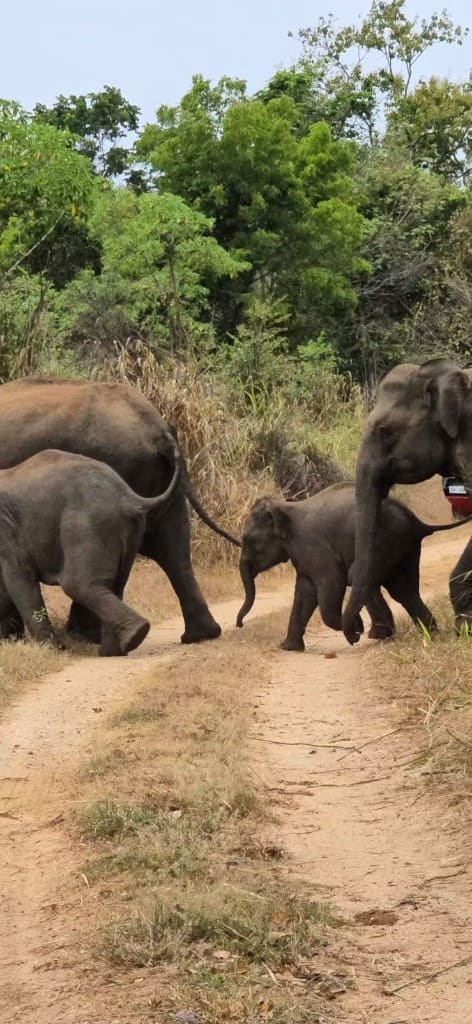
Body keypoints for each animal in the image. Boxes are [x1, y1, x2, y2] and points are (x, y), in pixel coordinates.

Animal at [0, 443, 181, 656]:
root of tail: (130, 497)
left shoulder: (7, 532)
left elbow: (19, 578)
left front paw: (53, 650)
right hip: (129, 529)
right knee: (114, 583)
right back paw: (112, 651)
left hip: (87, 524)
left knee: (77, 584)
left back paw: (133, 636)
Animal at [236, 482, 472, 651]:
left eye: (247, 540)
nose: (239, 625)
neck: (284, 507)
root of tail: (418, 522)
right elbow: (305, 592)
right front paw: (287, 648)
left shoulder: (315, 547)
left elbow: (330, 584)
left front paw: (356, 629)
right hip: (404, 548)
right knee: (404, 591)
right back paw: (428, 635)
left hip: (383, 542)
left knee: (363, 578)